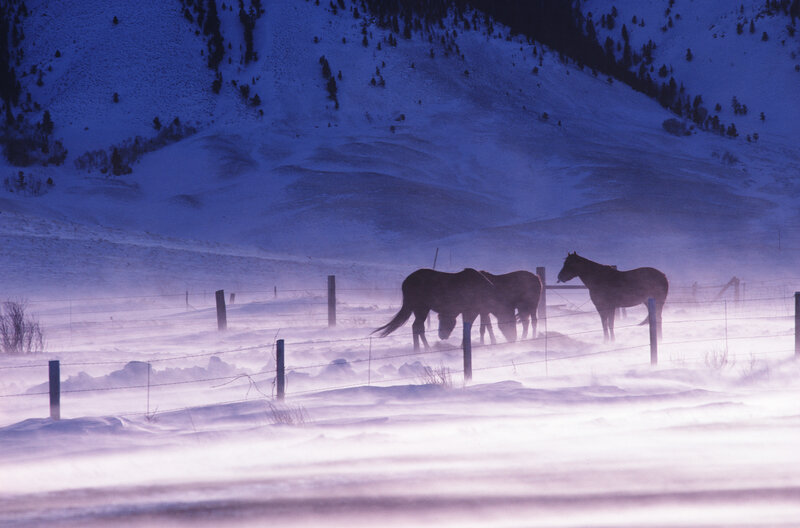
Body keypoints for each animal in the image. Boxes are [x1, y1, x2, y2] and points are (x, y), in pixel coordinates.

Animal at [373, 268, 517, 351]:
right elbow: (474, 328)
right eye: (509, 322)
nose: (513, 339)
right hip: (421, 308)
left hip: (419, 309)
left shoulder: (479, 311)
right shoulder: (471, 311)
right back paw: (422, 349)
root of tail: (405, 282)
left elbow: (483, 327)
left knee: (418, 327)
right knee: (417, 327)